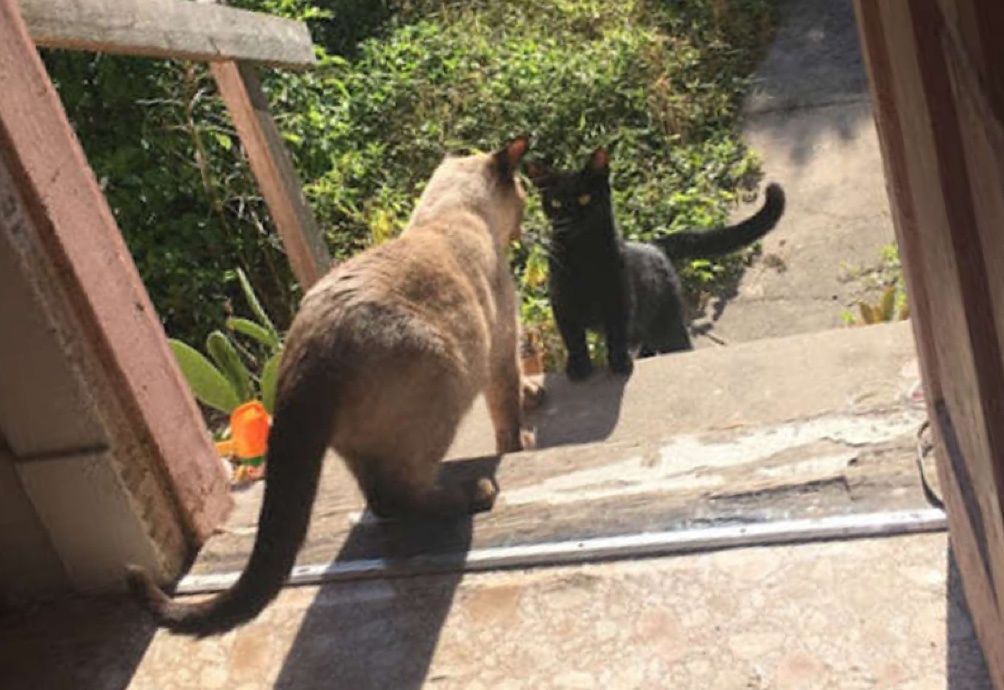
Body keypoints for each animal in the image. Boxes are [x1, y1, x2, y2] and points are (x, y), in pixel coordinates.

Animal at [131, 134, 550, 638]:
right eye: (524, 198)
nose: (524, 225)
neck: (450, 215)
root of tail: (309, 348)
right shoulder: (502, 343)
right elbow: (508, 414)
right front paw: (524, 440)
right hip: (445, 382)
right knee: (397, 493)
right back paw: (475, 492)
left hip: (362, 439)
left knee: (380, 498)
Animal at [526, 147, 783, 379]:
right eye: (556, 203)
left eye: (584, 198)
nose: (568, 219)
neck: (583, 253)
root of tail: (655, 246)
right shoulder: (562, 303)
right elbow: (573, 339)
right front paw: (579, 367)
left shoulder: (620, 300)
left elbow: (616, 334)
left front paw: (619, 363)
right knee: (645, 342)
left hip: (667, 325)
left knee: (677, 345)